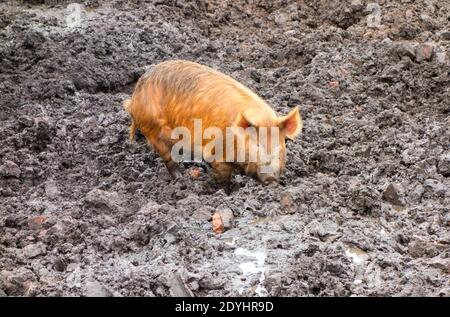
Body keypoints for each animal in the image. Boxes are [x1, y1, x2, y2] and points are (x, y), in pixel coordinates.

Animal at [122, 60, 302, 184]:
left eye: (280, 146)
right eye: (256, 145)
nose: (271, 177)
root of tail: (134, 99)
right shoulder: (216, 153)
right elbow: (223, 177)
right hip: (153, 130)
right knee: (168, 158)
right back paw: (182, 178)